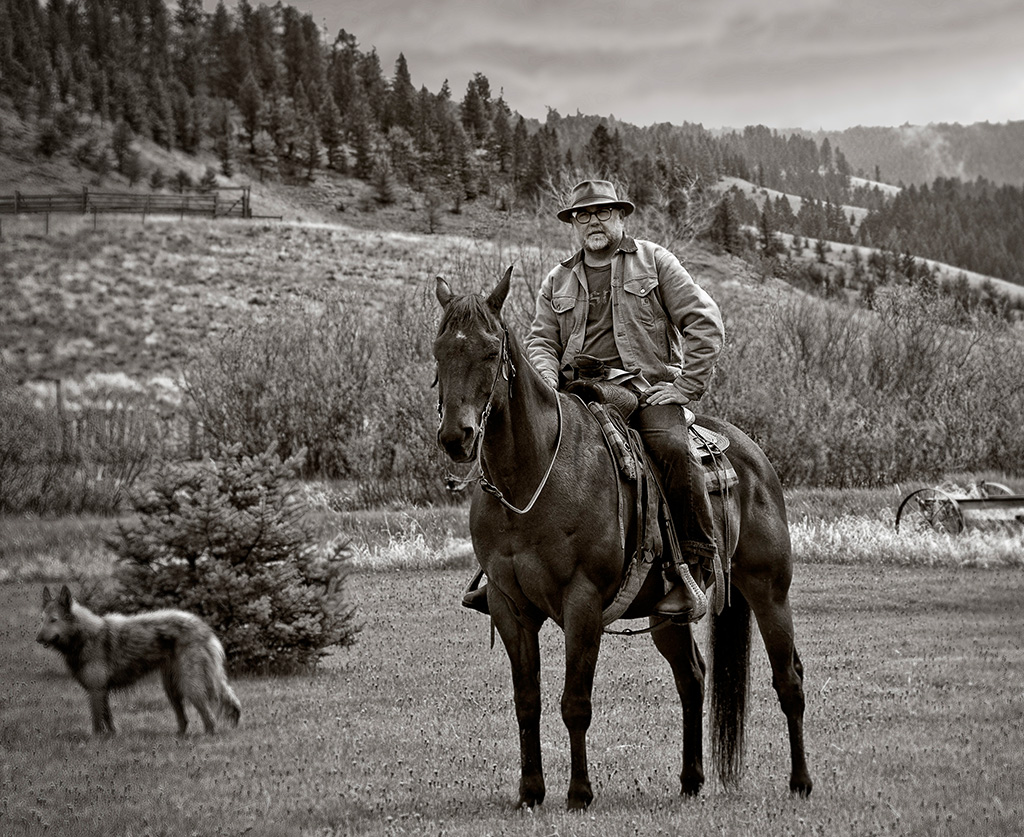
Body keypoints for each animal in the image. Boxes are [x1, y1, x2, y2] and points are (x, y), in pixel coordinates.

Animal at [34, 586, 243, 733]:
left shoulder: (96, 691)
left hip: (190, 686)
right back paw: (179, 736)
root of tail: (204, 627)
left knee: (210, 719)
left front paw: (95, 742)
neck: (85, 636)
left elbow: (97, 723)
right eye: (42, 619)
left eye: (53, 620)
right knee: (184, 720)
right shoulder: (101, 691)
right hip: (172, 689)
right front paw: (111, 737)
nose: (37, 639)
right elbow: (108, 719)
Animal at [428, 264, 811, 807]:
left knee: (788, 679)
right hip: (668, 614)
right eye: (439, 351)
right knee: (693, 678)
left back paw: (800, 781)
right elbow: (527, 702)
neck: (532, 476)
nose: (456, 437)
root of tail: (754, 456)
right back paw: (691, 780)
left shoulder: (582, 602)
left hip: (769, 590)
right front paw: (530, 791)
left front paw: (579, 793)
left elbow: (575, 702)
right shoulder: (509, 605)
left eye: (489, 349)